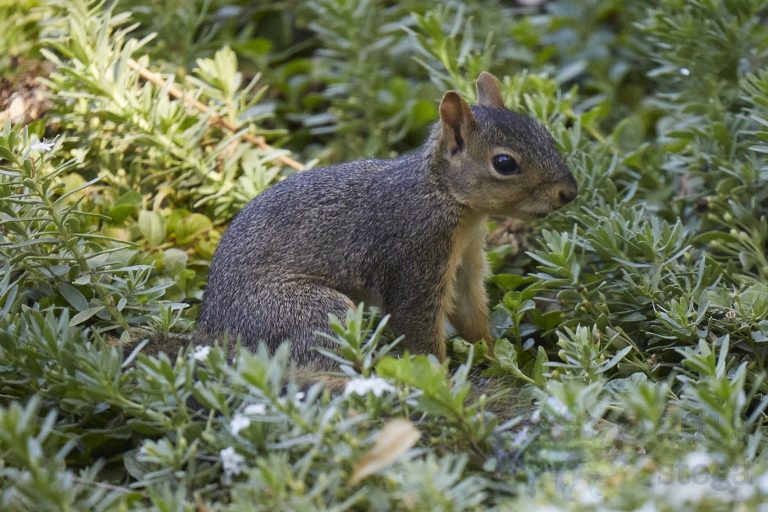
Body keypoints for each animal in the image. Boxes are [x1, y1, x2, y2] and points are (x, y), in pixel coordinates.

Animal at [198, 72, 578, 371]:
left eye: (544, 133)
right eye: (504, 163)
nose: (570, 192)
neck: (444, 198)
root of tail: (212, 333)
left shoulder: (466, 258)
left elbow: (469, 312)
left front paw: (498, 361)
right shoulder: (416, 255)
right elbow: (418, 327)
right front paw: (442, 382)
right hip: (308, 314)